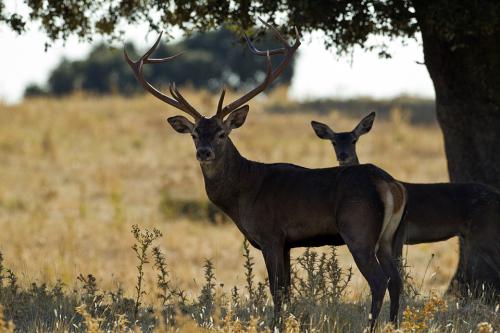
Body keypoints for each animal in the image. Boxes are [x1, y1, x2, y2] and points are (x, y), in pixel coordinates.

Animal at [124, 23, 406, 330]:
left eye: (222, 133)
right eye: (195, 134)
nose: (204, 152)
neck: (244, 194)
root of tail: (390, 184)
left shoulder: (270, 234)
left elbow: (276, 289)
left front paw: (277, 325)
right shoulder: (287, 242)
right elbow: (287, 288)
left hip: (358, 229)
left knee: (379, 280)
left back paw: (372, 325)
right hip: (387, 238)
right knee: (396, 280)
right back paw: (394, 324)